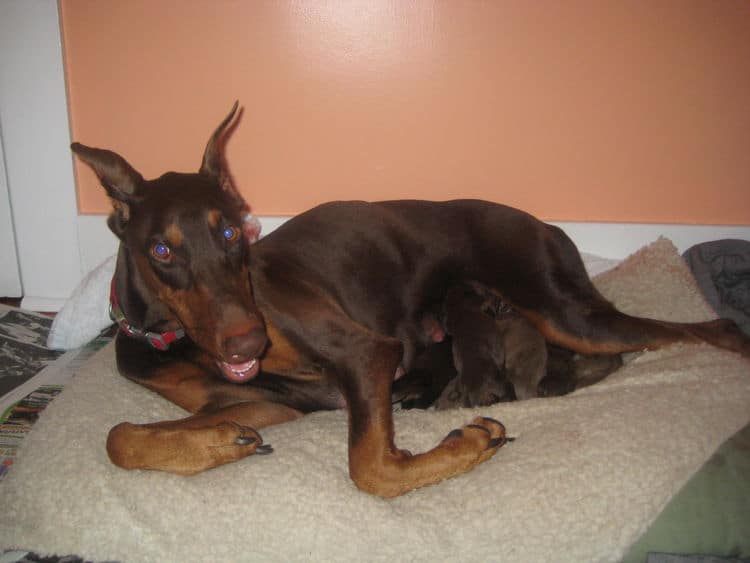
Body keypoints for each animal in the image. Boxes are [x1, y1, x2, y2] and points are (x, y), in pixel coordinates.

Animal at [72, 104, 750, 498]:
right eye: (162, 249)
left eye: (233, 232)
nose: (248, 341)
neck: (176, 337)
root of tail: (544, 225)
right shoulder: (264, 401)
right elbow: (118, 435)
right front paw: (221, 442)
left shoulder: (364, 353)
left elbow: (371, 469)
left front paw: (468, 444)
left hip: (563, 309)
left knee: (710, 330)